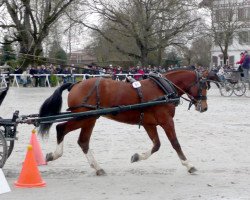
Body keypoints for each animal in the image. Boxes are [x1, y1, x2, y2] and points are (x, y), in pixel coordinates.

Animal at [38, 69, 218, 176]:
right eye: (204, 85)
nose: (205, 107)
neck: (162, 90)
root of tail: (76, 83)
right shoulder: (166, 121)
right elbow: (175, 143)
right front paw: (188, 164)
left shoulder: (149, 123)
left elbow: (156, 145)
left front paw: (137, 156)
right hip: (83, 117)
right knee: (61, 128)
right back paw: (55, 154)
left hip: (89, 119)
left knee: (83, 142)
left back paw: (97, 167)